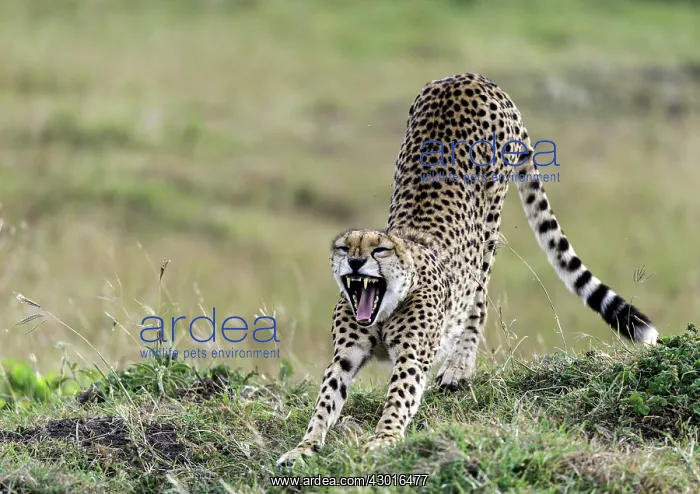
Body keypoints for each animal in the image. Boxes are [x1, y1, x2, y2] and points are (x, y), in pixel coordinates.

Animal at [277, 72, 658, 467]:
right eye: (344, 248)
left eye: (379, 250)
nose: (354, 262)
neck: (385, 307)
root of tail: (469, 77)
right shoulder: (344, 357)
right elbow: (326, 401)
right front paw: (304, 447)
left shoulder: (412, 358)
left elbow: (398, 398)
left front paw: (384, 439)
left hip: (488, 227)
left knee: (479, 298)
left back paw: (459, 365)